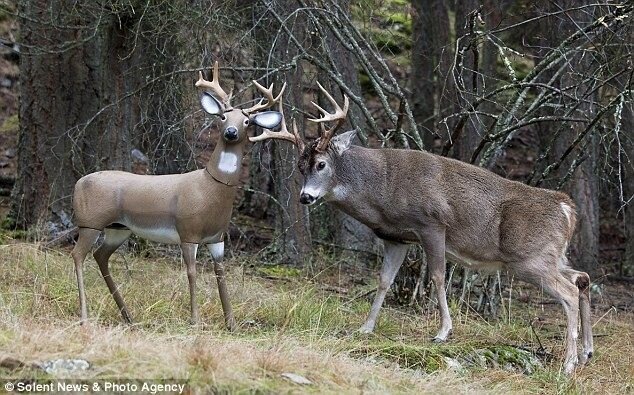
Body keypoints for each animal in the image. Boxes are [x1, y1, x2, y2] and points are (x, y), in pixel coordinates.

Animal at [71, 62, 286, 332]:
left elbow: (221, 274)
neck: (210, 189)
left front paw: (232, 324)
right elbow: (192, 273)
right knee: (78, 255)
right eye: (223, 116)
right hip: (90, 222)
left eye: (247, 121)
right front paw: (195, 321)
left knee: (100, 256)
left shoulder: (217, 238)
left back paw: (129, 317)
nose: (231, 132)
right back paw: (85, 317)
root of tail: (78, 183)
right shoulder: (188, 230)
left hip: (118, 228)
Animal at [254, 83, 592, 374]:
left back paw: (568, 365)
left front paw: (443, 331)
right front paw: (366, 327)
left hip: (529, 258)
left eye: (321, 164)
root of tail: (567, 208)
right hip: (552, 256)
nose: (305, 197)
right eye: (300, 167)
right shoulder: (396, 238)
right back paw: (586, 353)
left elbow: (438, 277)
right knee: (581, 278)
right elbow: (384, 281)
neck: (384, 189)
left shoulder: (432, 223)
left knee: (569, 292)